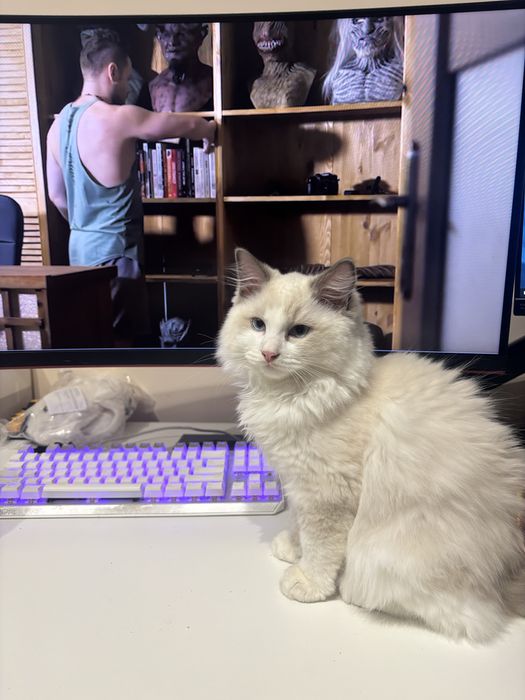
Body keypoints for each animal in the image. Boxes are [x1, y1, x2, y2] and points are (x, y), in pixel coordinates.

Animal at [217, 248, 525, 643]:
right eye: (258, 325)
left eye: (299, 332)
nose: (269, 354)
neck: (291, 396)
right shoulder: (299, 483)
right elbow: (302, 527)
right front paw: (293, 548)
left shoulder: (328, 496)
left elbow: (321, 547)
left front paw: (307, 581)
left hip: (387, 552)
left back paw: (349, 587)